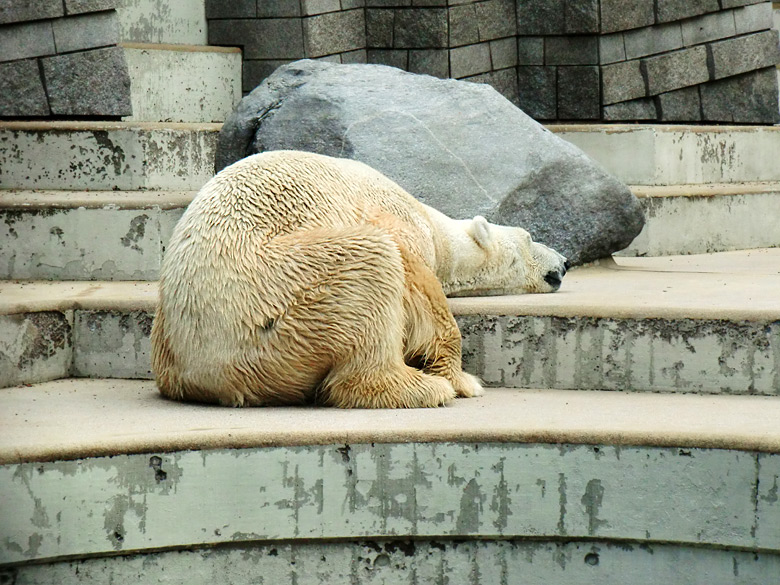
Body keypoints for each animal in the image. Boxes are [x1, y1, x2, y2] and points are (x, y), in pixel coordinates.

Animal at [152, 148, 568, 408]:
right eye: (529, 237)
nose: (564, 264)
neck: (433, 226)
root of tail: (207, 371)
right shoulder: (397, 221)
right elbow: (415, 279)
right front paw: (462, 380)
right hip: (276, 295)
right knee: (372, 261)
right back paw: (419, 388)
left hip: (168, 342)